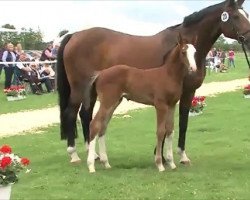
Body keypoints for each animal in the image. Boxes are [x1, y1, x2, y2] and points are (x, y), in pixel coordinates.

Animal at [88, 36, 197, 173]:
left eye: (195, 52)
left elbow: (170, 130)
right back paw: (91, 166)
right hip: (107, 102)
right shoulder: (160, 105)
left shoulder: (172, 105)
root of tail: (100, 74)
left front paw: (171, 163)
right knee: (94, 125)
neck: (168, 75)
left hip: (114, 103)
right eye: (183, 52)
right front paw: (160, 164)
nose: (193, 69)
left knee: (103, 127)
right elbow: (160, 131)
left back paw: (106, 163)